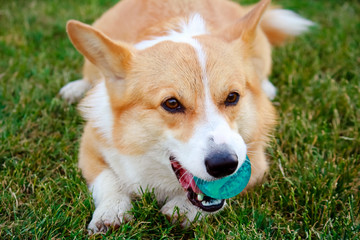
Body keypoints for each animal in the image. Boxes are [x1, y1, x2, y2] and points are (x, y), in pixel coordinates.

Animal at [61, 0, 312, 233]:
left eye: (232, 97)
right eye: (171, 103)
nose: (224, 165)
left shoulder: (255, 160)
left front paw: (182, 209)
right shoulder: (90, 147)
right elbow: (108, 180)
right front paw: (111, 213)